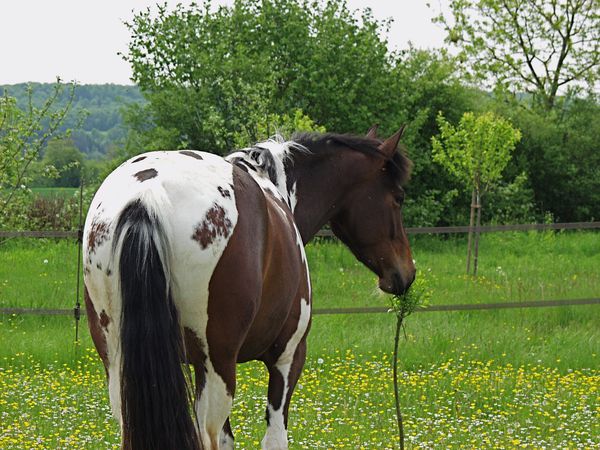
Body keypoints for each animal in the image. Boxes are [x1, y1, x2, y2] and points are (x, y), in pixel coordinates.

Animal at [82, 127, 414, 450]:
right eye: (398, 198)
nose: (406, 273)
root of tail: (148, 194)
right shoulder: (288, 356)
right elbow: (274, 439)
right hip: (217, 367)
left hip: (121, 367)